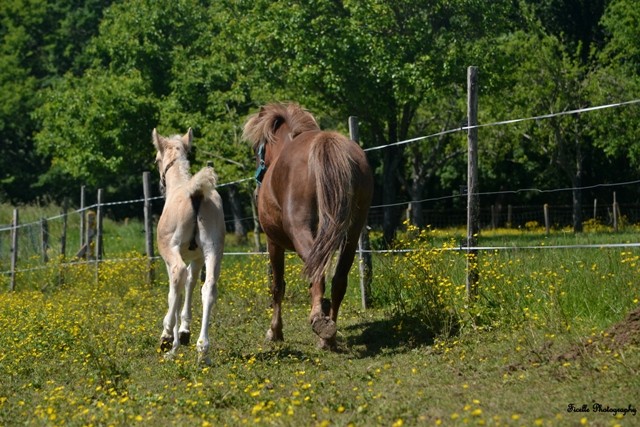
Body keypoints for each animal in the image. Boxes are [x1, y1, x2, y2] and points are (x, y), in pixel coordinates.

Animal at [152, 128, 225, 364]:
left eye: (157, 159)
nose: (161, 185)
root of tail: (197, 193)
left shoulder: (171, 256)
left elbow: (174, 291)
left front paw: (173, 338)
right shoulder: (197, 257)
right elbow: (191, 283)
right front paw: (184, 332)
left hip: (172, 250)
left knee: (178, 273)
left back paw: (167, 339)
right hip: (214, 252)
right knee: (209, 287)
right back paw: (203, 350)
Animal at [245, 104, 376, 352]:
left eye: (259, 149)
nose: (256, 190)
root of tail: (325, 142)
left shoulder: (273, 243)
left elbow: (277, 286)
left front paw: (274, 331)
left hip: (301, 231)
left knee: (319, 273)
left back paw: (320, 324)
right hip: (351, 235)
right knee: (338, 280)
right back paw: (328, 335)